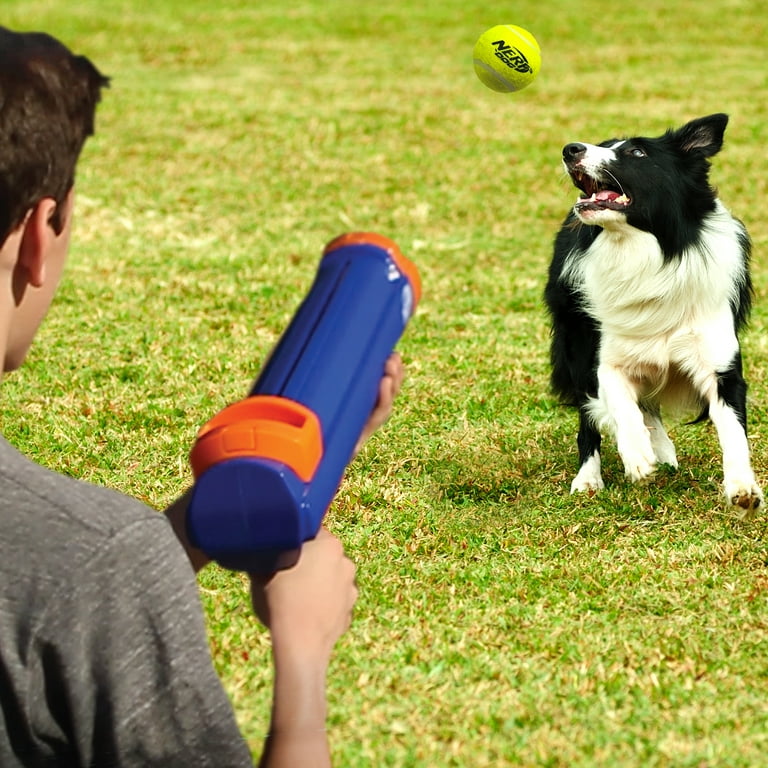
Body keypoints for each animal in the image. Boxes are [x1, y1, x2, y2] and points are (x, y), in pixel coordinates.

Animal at [544, 112, 760, 510]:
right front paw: (637, 456)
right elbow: (618, 401)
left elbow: (733, 430)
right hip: (576, 339)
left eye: (637, 152)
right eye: (603, 144)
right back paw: (591, 478)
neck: (647, 251)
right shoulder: (603, 355)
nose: (571, 149)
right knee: (592, 417)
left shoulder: (719, 362)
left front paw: (743, 488)